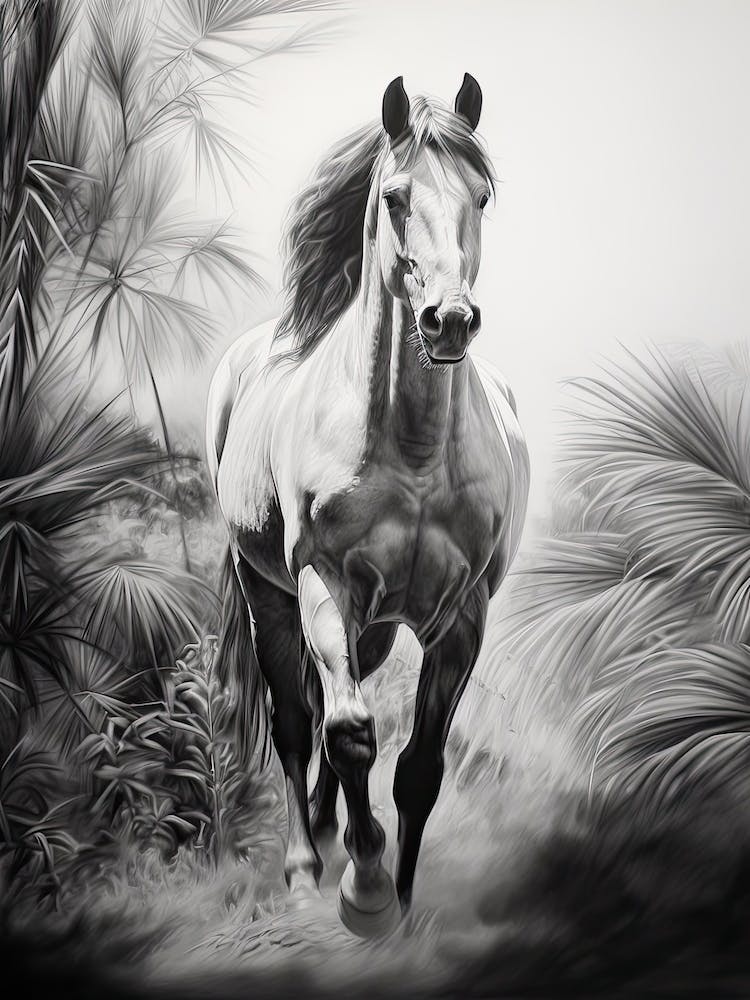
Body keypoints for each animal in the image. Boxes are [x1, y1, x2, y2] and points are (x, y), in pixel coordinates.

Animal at [206, 73, 529, 937]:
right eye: (394, 196)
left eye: (482, 195)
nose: (449, 321)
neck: (413, 452)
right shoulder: (324, 581)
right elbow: (350, 733)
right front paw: (366, 889)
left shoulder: (463, 615)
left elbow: (419, 767)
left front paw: (403, 900)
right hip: (270, 593)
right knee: (297, 722)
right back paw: (305, 865)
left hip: (379, 624)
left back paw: (330, 834)